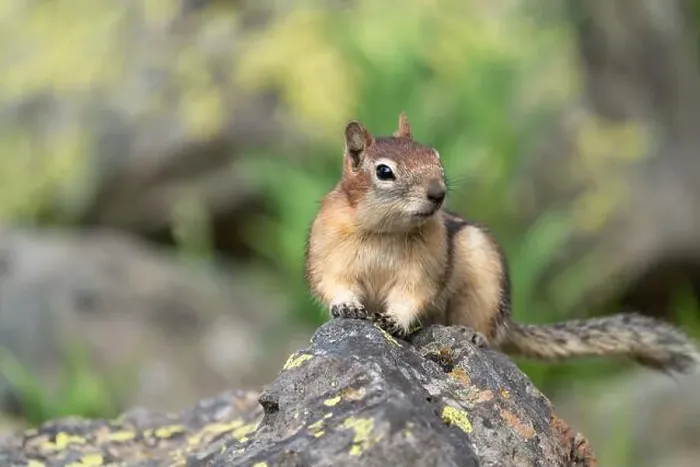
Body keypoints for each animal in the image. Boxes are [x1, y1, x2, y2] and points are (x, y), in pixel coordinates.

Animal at [304, 112, 700, 373]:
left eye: (435, 156)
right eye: (384, 171)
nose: (438, 193)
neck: (386, 231)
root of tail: (508, 321)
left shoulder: (426, 266)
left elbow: (412, 293)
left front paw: (395, 322)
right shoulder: (328, 252)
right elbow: (333, 283)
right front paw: (347, 308)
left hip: (483, 281)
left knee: (487, 331)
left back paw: (471, 334)